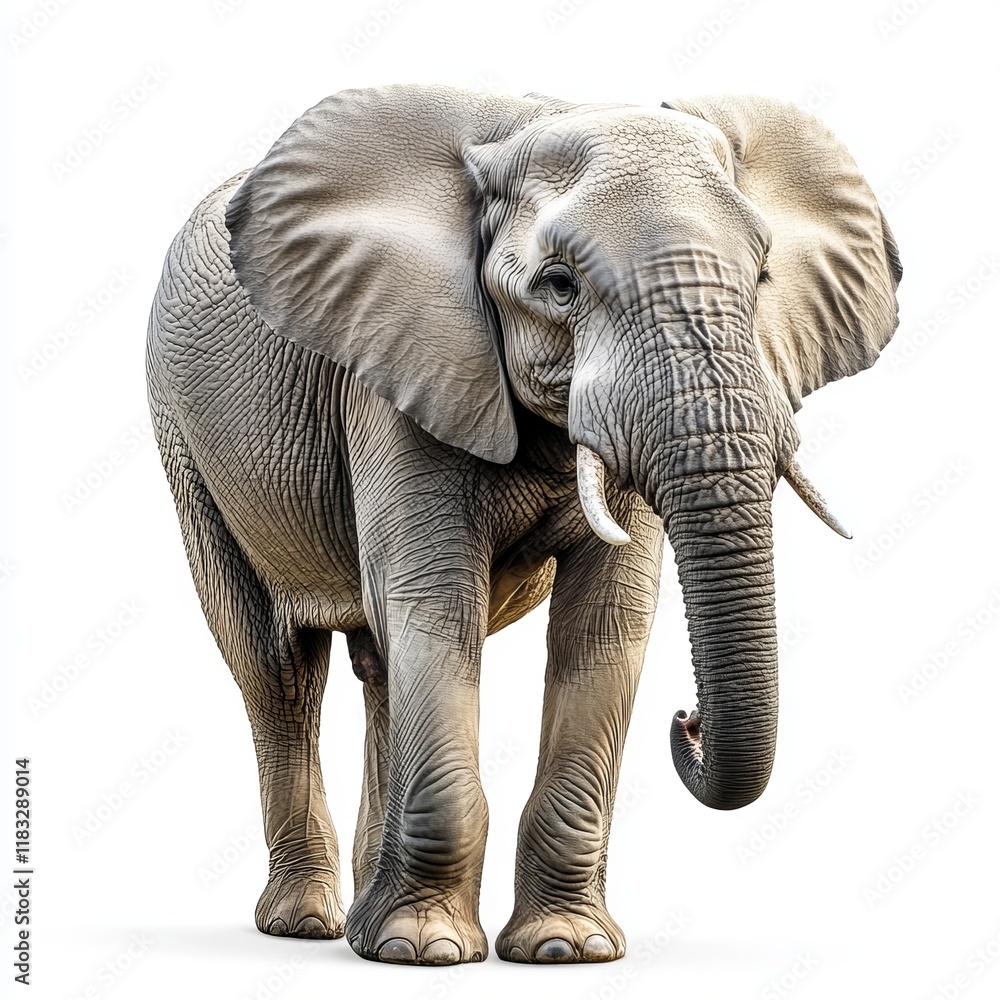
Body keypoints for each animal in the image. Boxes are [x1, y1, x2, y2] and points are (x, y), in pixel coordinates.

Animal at [146, 83, 901, 966]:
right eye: (559, 284)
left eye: (762, 275)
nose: (687, 721)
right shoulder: (404, 360)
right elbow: (435, 602)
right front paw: (423, 952)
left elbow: (606, 622)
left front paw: (568, 950)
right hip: (185, 445)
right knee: (278, 672)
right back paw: (308, 926)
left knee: (377, 665)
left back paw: (360, 923)